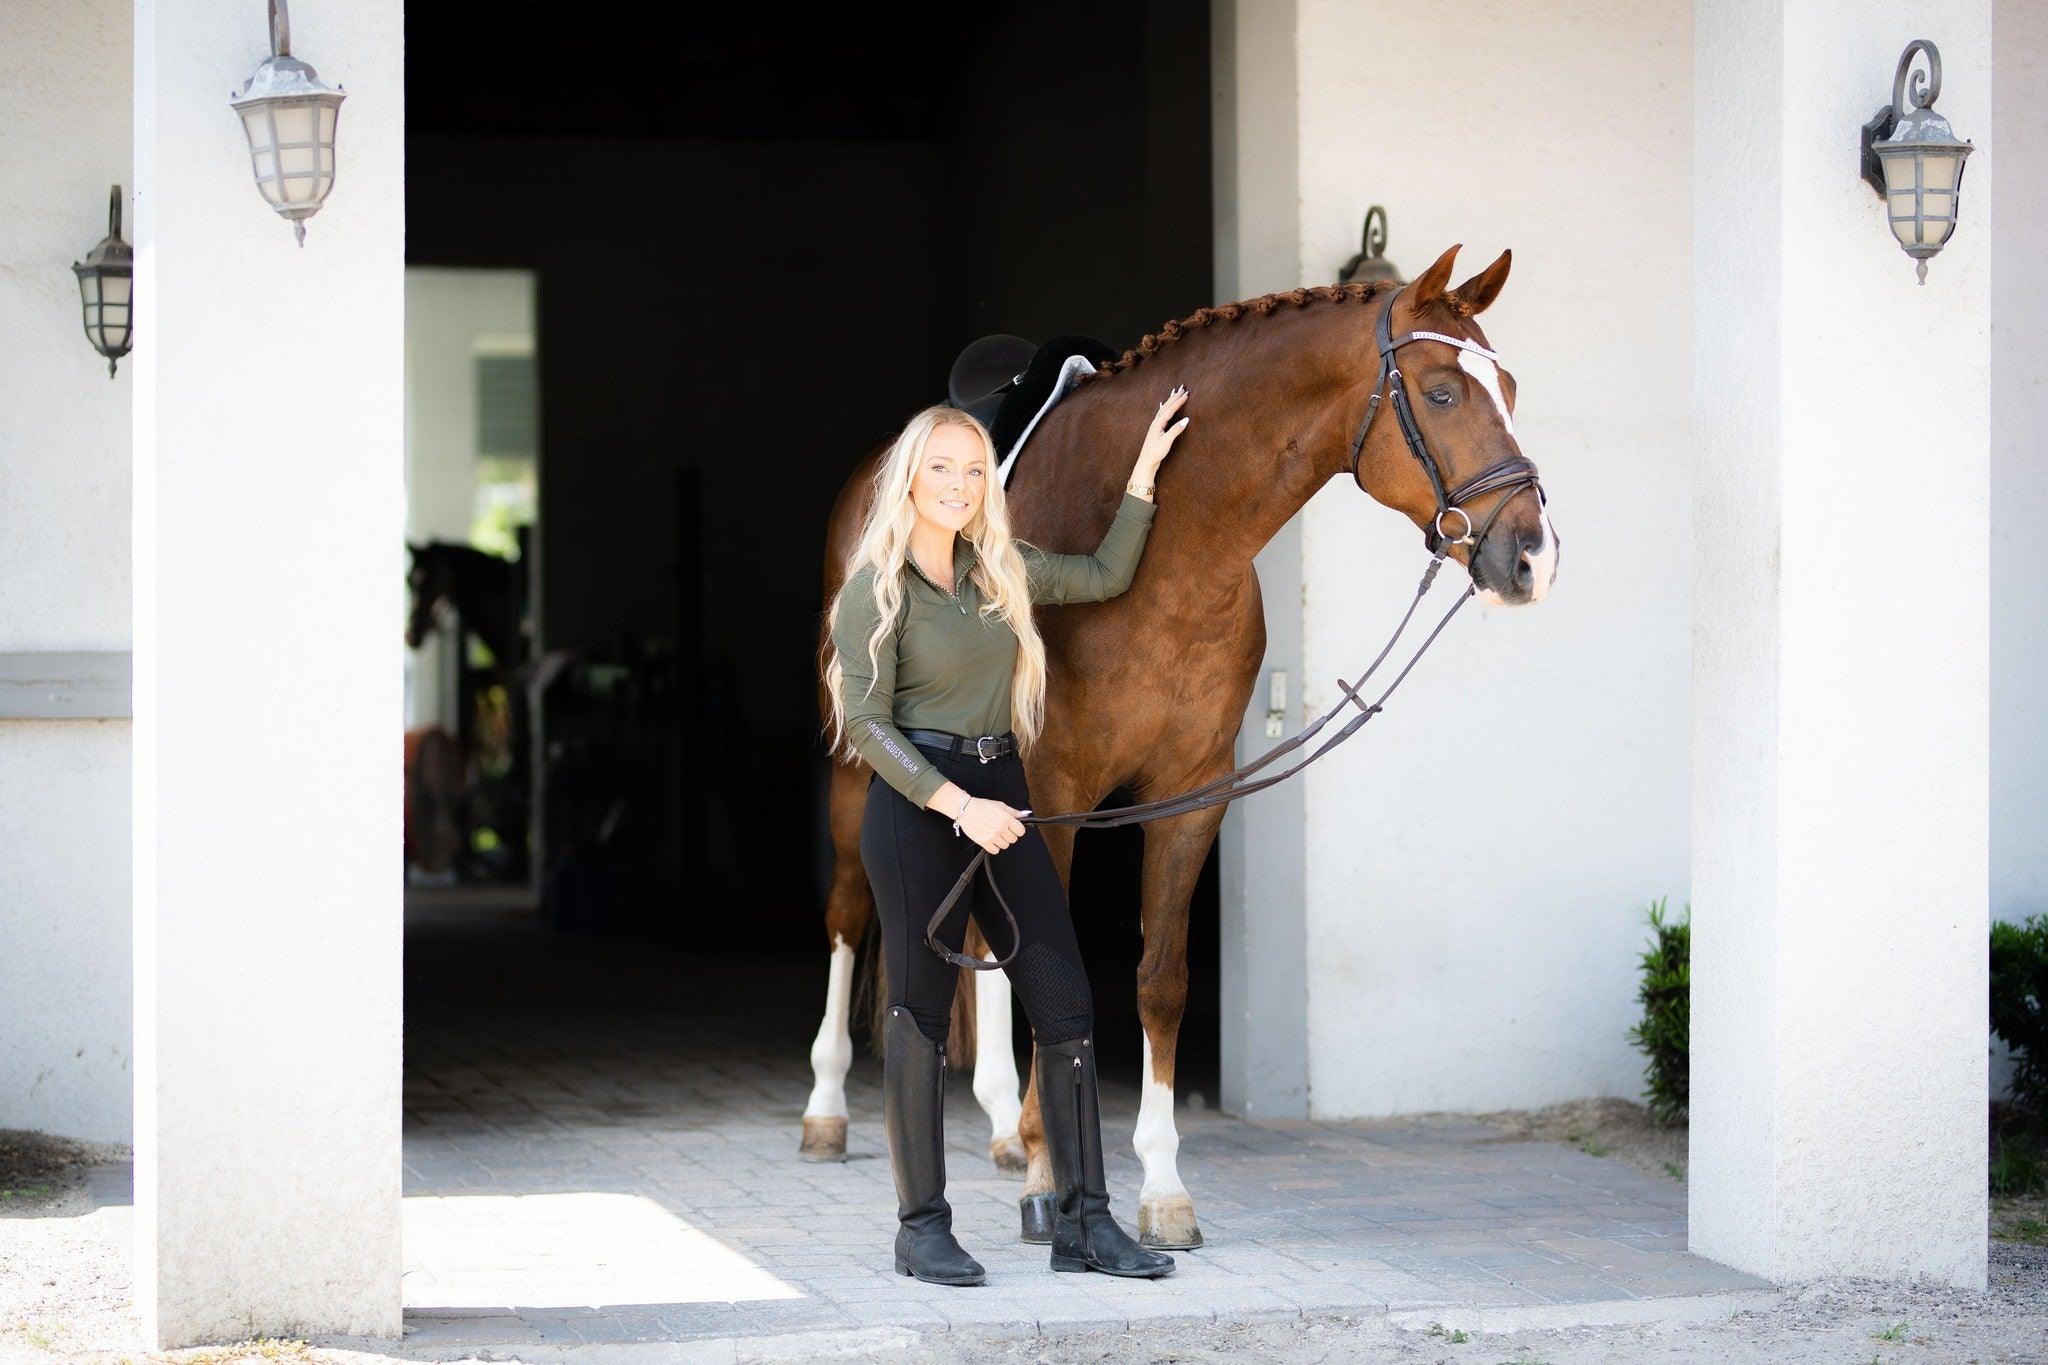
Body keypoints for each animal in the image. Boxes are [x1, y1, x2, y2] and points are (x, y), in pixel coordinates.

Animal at [803, 244, 1559, 1249]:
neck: (1175, 553)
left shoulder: (1195, 791)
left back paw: (998, 1122)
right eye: (1441, 392)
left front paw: (1160, 1186)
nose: (1534, 557)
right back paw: (827, 1109)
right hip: (865, 767)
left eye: (1508, 386)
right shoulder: (1057, 790)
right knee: (850, 911)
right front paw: (1048, 1179)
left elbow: (1158, 977)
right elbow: (1050, 965)